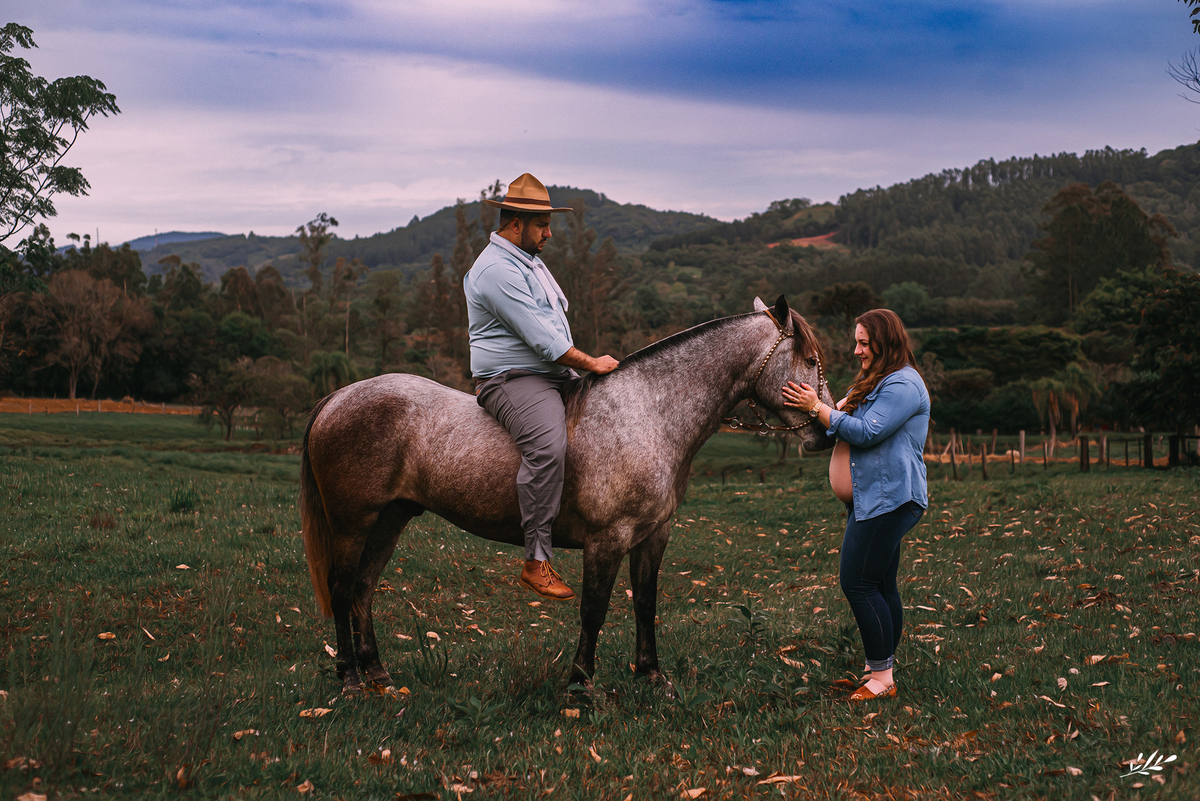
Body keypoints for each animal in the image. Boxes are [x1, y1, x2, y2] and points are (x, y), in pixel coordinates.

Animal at [301, 295, 834, 695]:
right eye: (810, 360)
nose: (824, 433)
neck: (647, 412)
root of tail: (340, 396)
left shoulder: (653, 536)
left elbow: (645, 603)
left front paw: (652, 677)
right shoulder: (607, 540)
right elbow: (594, 610)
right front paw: (581, 685)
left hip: (389, 520)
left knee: (364, 590)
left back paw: (377, 674)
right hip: (352, 524)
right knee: (344, 589)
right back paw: (350, 679)